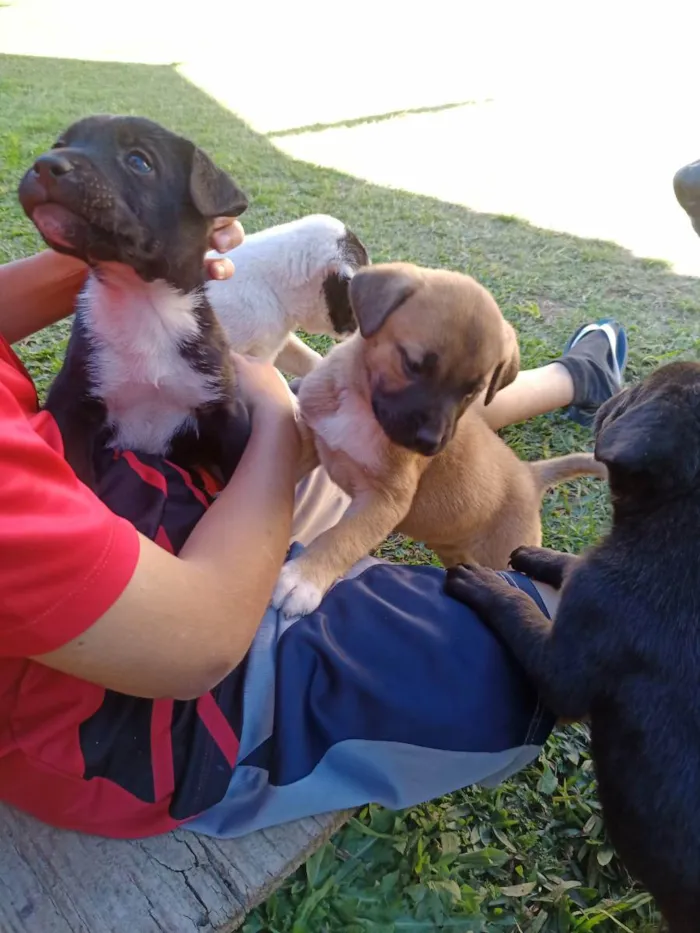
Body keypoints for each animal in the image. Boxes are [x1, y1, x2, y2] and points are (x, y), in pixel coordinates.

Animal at [17, 116, 253, 488]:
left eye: (139, 162)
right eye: (59, 144)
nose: (45, 163)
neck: (142, 300)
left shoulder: (227, 412)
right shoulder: (71, 407)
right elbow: (81, 478)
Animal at [274, 262, 608, 616]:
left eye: (473, 392)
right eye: (413, 365)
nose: (430, 443)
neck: (361, 405)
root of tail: (530, 474)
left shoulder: (385, 501)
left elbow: (342, 537)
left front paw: (304, 578)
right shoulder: (312, 440)